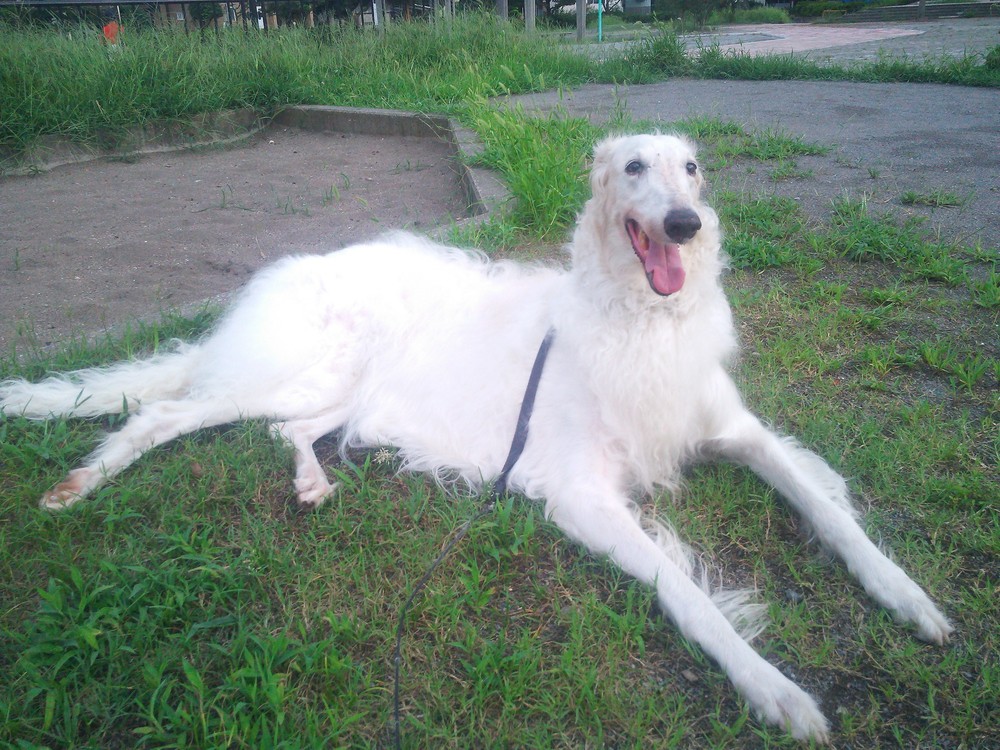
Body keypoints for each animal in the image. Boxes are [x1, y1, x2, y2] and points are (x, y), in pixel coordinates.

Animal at [0, 133, 952, 742]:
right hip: (294, 373)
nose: (686, 223)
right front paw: (776, 692)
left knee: (289, 431)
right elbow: (689, 596)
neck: (641, 324)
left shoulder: (739, 432)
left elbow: (835, 518)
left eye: (694, 169)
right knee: (164, 416)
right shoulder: (580, 495)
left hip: (342, 393)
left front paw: (911, 598)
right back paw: (76, 488)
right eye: (633, 166)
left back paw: (312, 482)